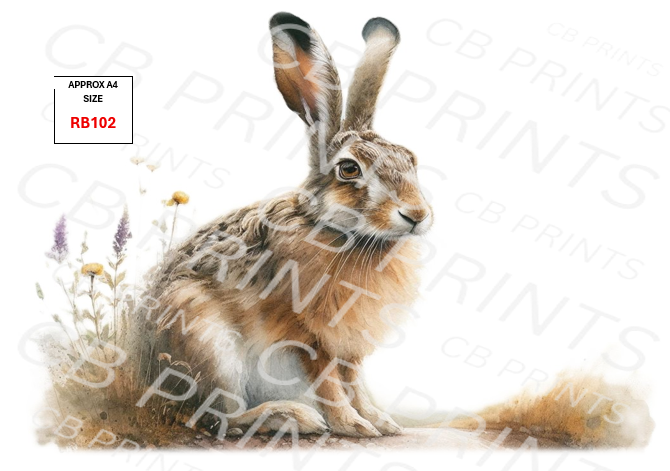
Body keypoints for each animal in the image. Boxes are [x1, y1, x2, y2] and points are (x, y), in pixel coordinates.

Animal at [135, 11, 433, 438]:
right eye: (348, 169)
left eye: (411, 160)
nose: (416, 215)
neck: (342, 234)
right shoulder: (309, 335)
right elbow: (329, 383)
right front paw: (350, 425)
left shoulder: (348, 346)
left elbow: (354, 381)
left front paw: (381, 422)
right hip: (209, 343)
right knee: (218, 418)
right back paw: (292, 416)